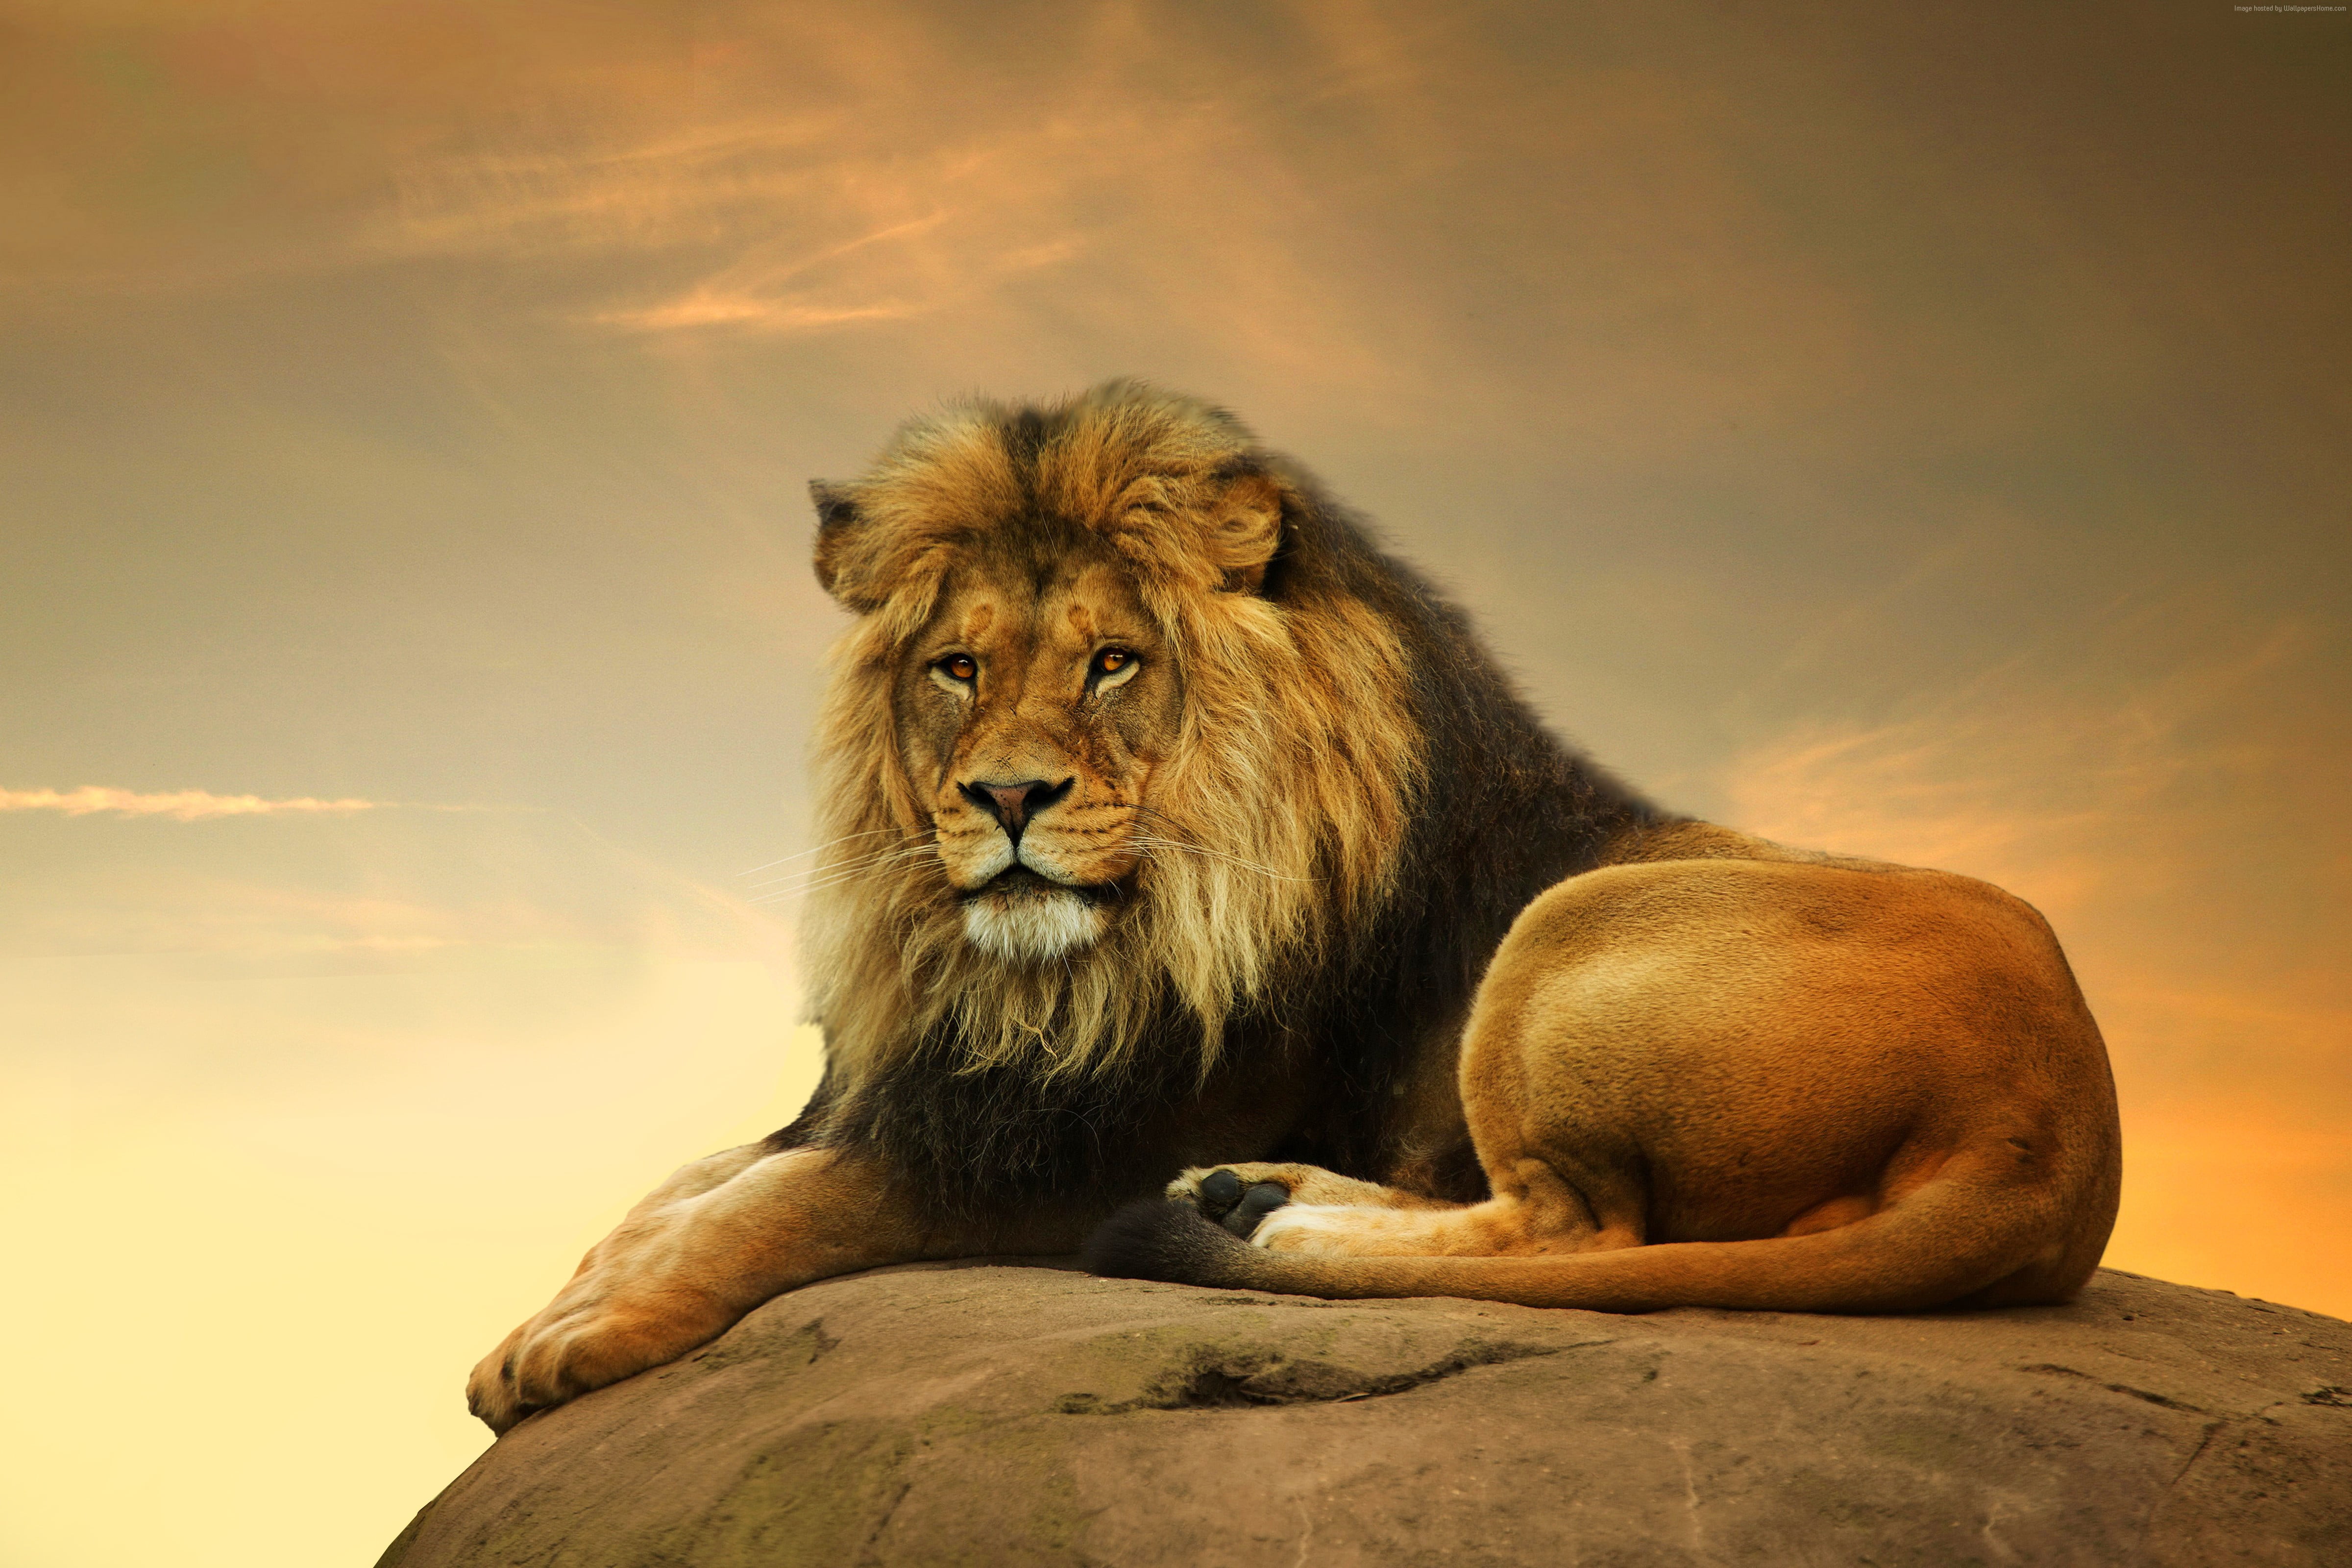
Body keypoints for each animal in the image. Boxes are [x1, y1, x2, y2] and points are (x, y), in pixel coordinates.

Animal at [465, 382, 2121, 1434]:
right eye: (957, 669)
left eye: (1112, 663)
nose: (1007, 799)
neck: (1054, 970)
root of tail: (2057, 1134)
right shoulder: (931, 1084)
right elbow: (681, 1185)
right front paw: (555, 1306)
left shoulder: (1059, 1147)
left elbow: (782, 1203)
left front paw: (581, 1338)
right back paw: (1255, 1197)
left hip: (1566, 934)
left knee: (1572, 1226)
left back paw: (1260, 1215)